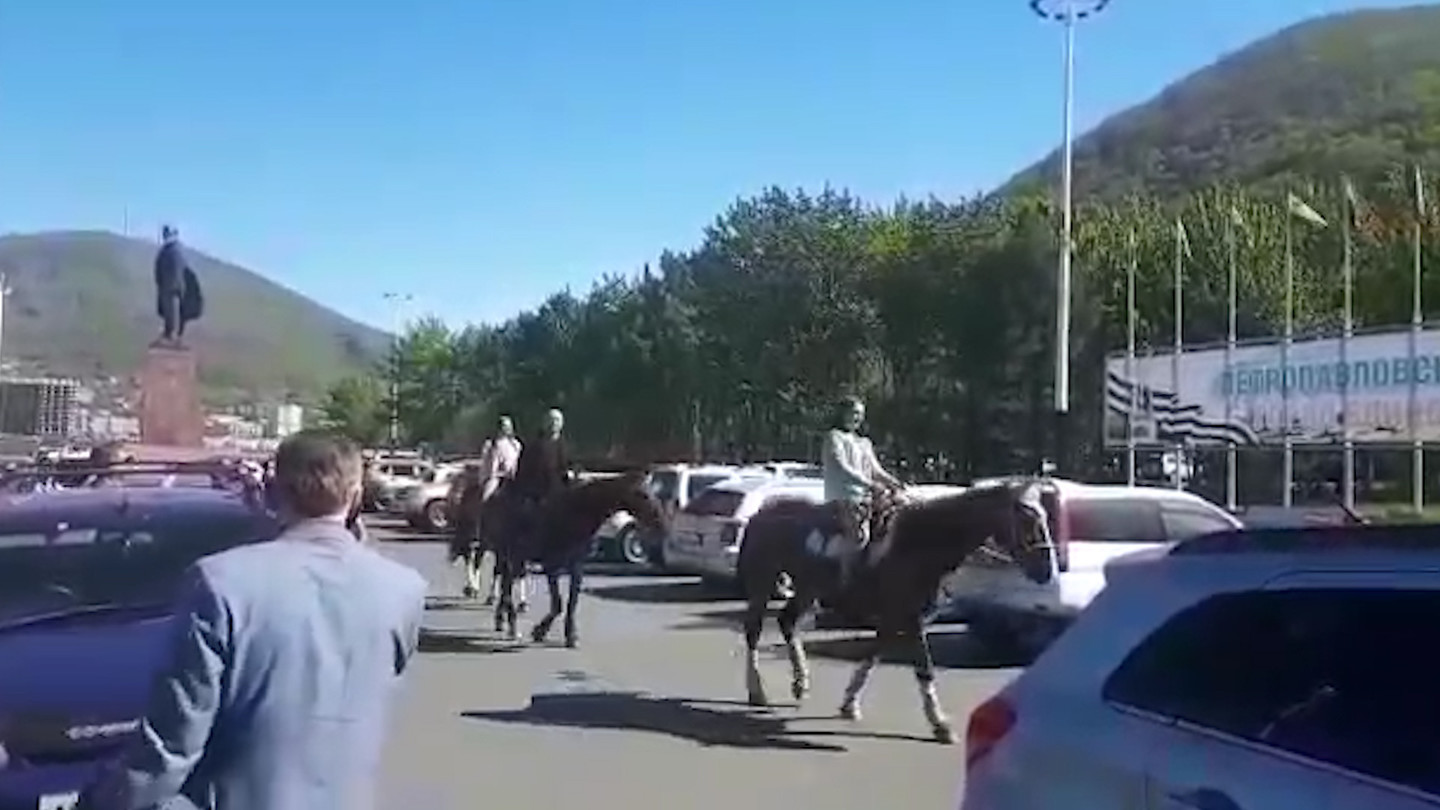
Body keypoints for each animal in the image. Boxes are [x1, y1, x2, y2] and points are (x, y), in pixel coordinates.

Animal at [737, 475, 1054, 743]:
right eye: (1027, 518)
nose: (1046, 570)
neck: (918, 544)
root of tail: (762, 513)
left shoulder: (895, 618)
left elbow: (872, 655)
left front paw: (849, 704)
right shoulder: (911, 619)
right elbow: (924, 668)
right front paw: (940, 724)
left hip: (807, 589)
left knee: (787, 622)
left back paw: (800, 682)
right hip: (763, 583)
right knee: (753, 631)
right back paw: (757, 691)